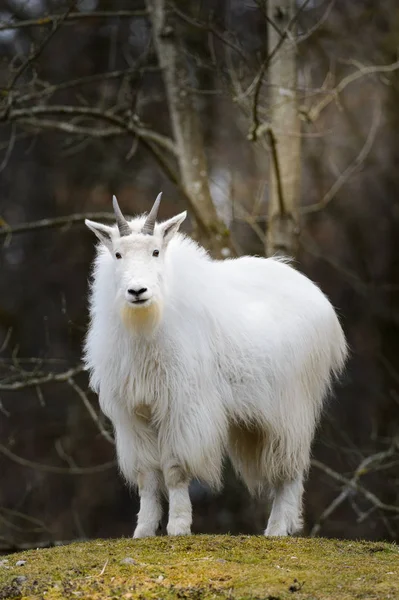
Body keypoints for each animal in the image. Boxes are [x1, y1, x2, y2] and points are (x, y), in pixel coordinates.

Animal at [85, 195, 350, 536]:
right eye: (118, 254)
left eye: (156, 251)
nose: (137, 291)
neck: (146, 325)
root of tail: (323, 304)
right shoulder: (134, 413)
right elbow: (147, 474)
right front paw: (143, 530)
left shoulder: (181, 407)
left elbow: (174, 468)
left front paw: (178, 525)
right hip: (255, 420)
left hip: (291, 408)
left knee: (289, 469)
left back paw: (278, 528)